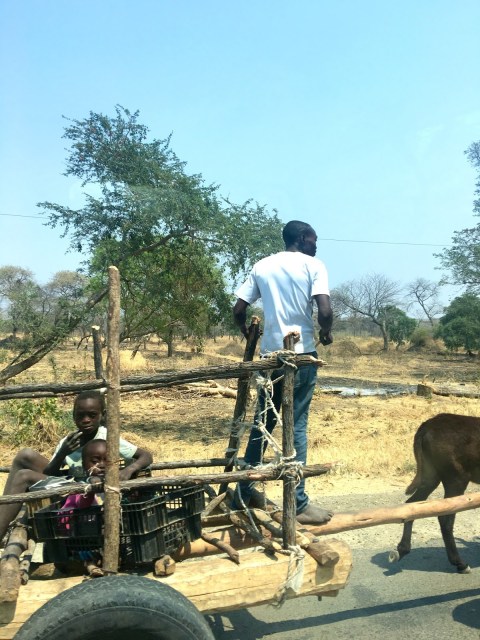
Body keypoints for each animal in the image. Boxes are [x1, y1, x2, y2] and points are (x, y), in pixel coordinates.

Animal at [389, 413, 480, 573]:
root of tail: (427, 425)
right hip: (456, 479)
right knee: (445, 519)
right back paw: (460, 563)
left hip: (430, 476)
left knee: (412, 504)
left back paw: (402, 549)